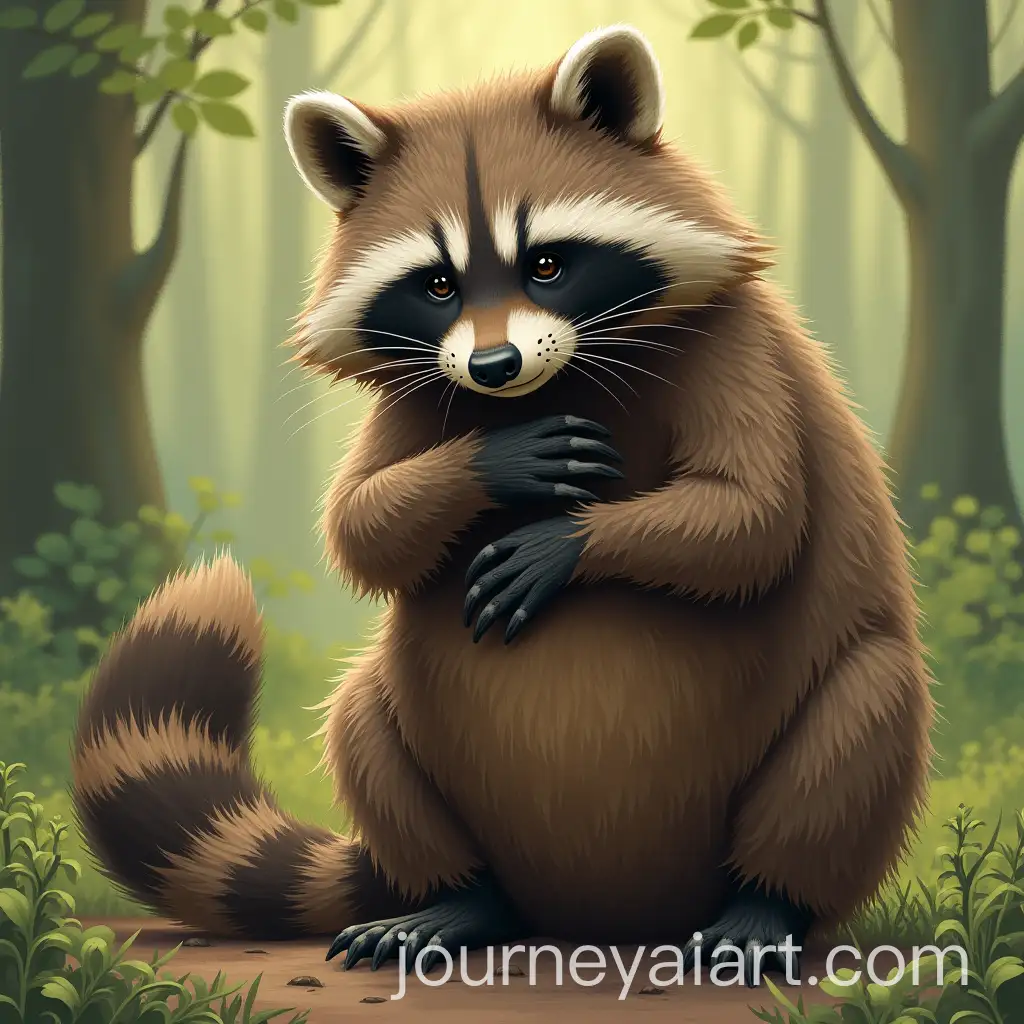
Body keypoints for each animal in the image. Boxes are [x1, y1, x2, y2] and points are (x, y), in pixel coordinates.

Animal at [71, 24, 933, 985]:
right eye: (438, 284)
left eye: (548, 264)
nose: (493, 368)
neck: (557, 376)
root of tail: (599, 916)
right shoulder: (419, 392)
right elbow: (360, 524)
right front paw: (498, 462)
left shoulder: (737, 350)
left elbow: (753, 518)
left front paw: (566, 540)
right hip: (421, 749)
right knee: (363, 720)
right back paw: (458, 896)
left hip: (833, 737)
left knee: (858, 726)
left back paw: (765, 904)